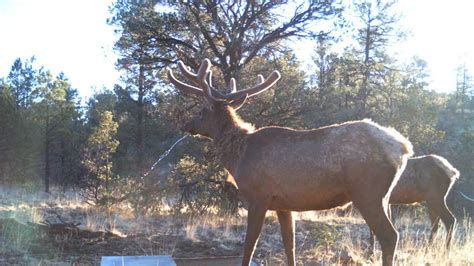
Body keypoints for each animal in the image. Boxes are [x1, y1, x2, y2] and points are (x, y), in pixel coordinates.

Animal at [168, 59, 412, 264]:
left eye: (201, 111)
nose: (186, 124)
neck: (238, 157)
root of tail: (402, 147)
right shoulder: (284, 204)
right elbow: (290, 245)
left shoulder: (258, 197)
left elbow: (249, 246)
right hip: (385, 196)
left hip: (367, 192)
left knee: (390, 236)